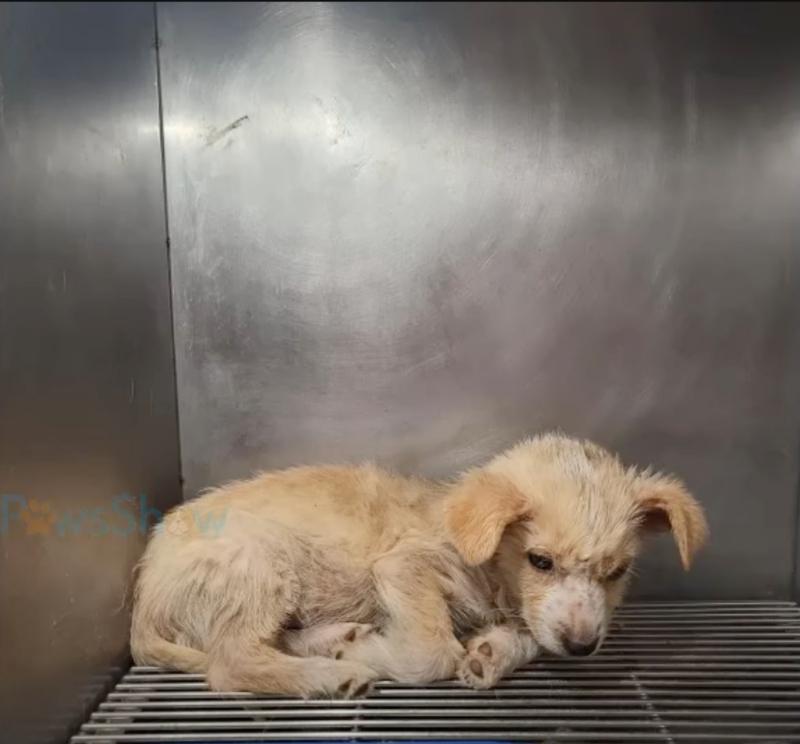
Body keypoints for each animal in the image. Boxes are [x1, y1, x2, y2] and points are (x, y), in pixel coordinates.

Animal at [131, 436, 708, 696]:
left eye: (617, 573)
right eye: (540, 561)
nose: (583, 646)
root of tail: (145, 597)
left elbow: (526, 634)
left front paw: (492, 653)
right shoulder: (405, 565)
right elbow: (432, 651)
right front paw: (382, 654)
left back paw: (333, 639)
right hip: (261, 564)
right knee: (231, 663)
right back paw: (334, 671)